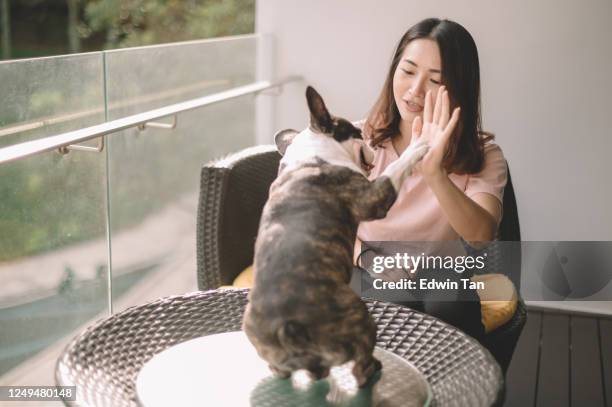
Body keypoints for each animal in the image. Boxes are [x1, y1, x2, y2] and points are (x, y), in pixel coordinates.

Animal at [241, 87, 428, 388]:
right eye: (358, 133)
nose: (371, 141)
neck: (313, 154)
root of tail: (288, 325)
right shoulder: (372, 197)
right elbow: (397, 168)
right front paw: (419, 145)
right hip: (358, 316)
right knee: (361, 367)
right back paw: (372, 371)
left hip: (267, 348)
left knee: (288, 370)